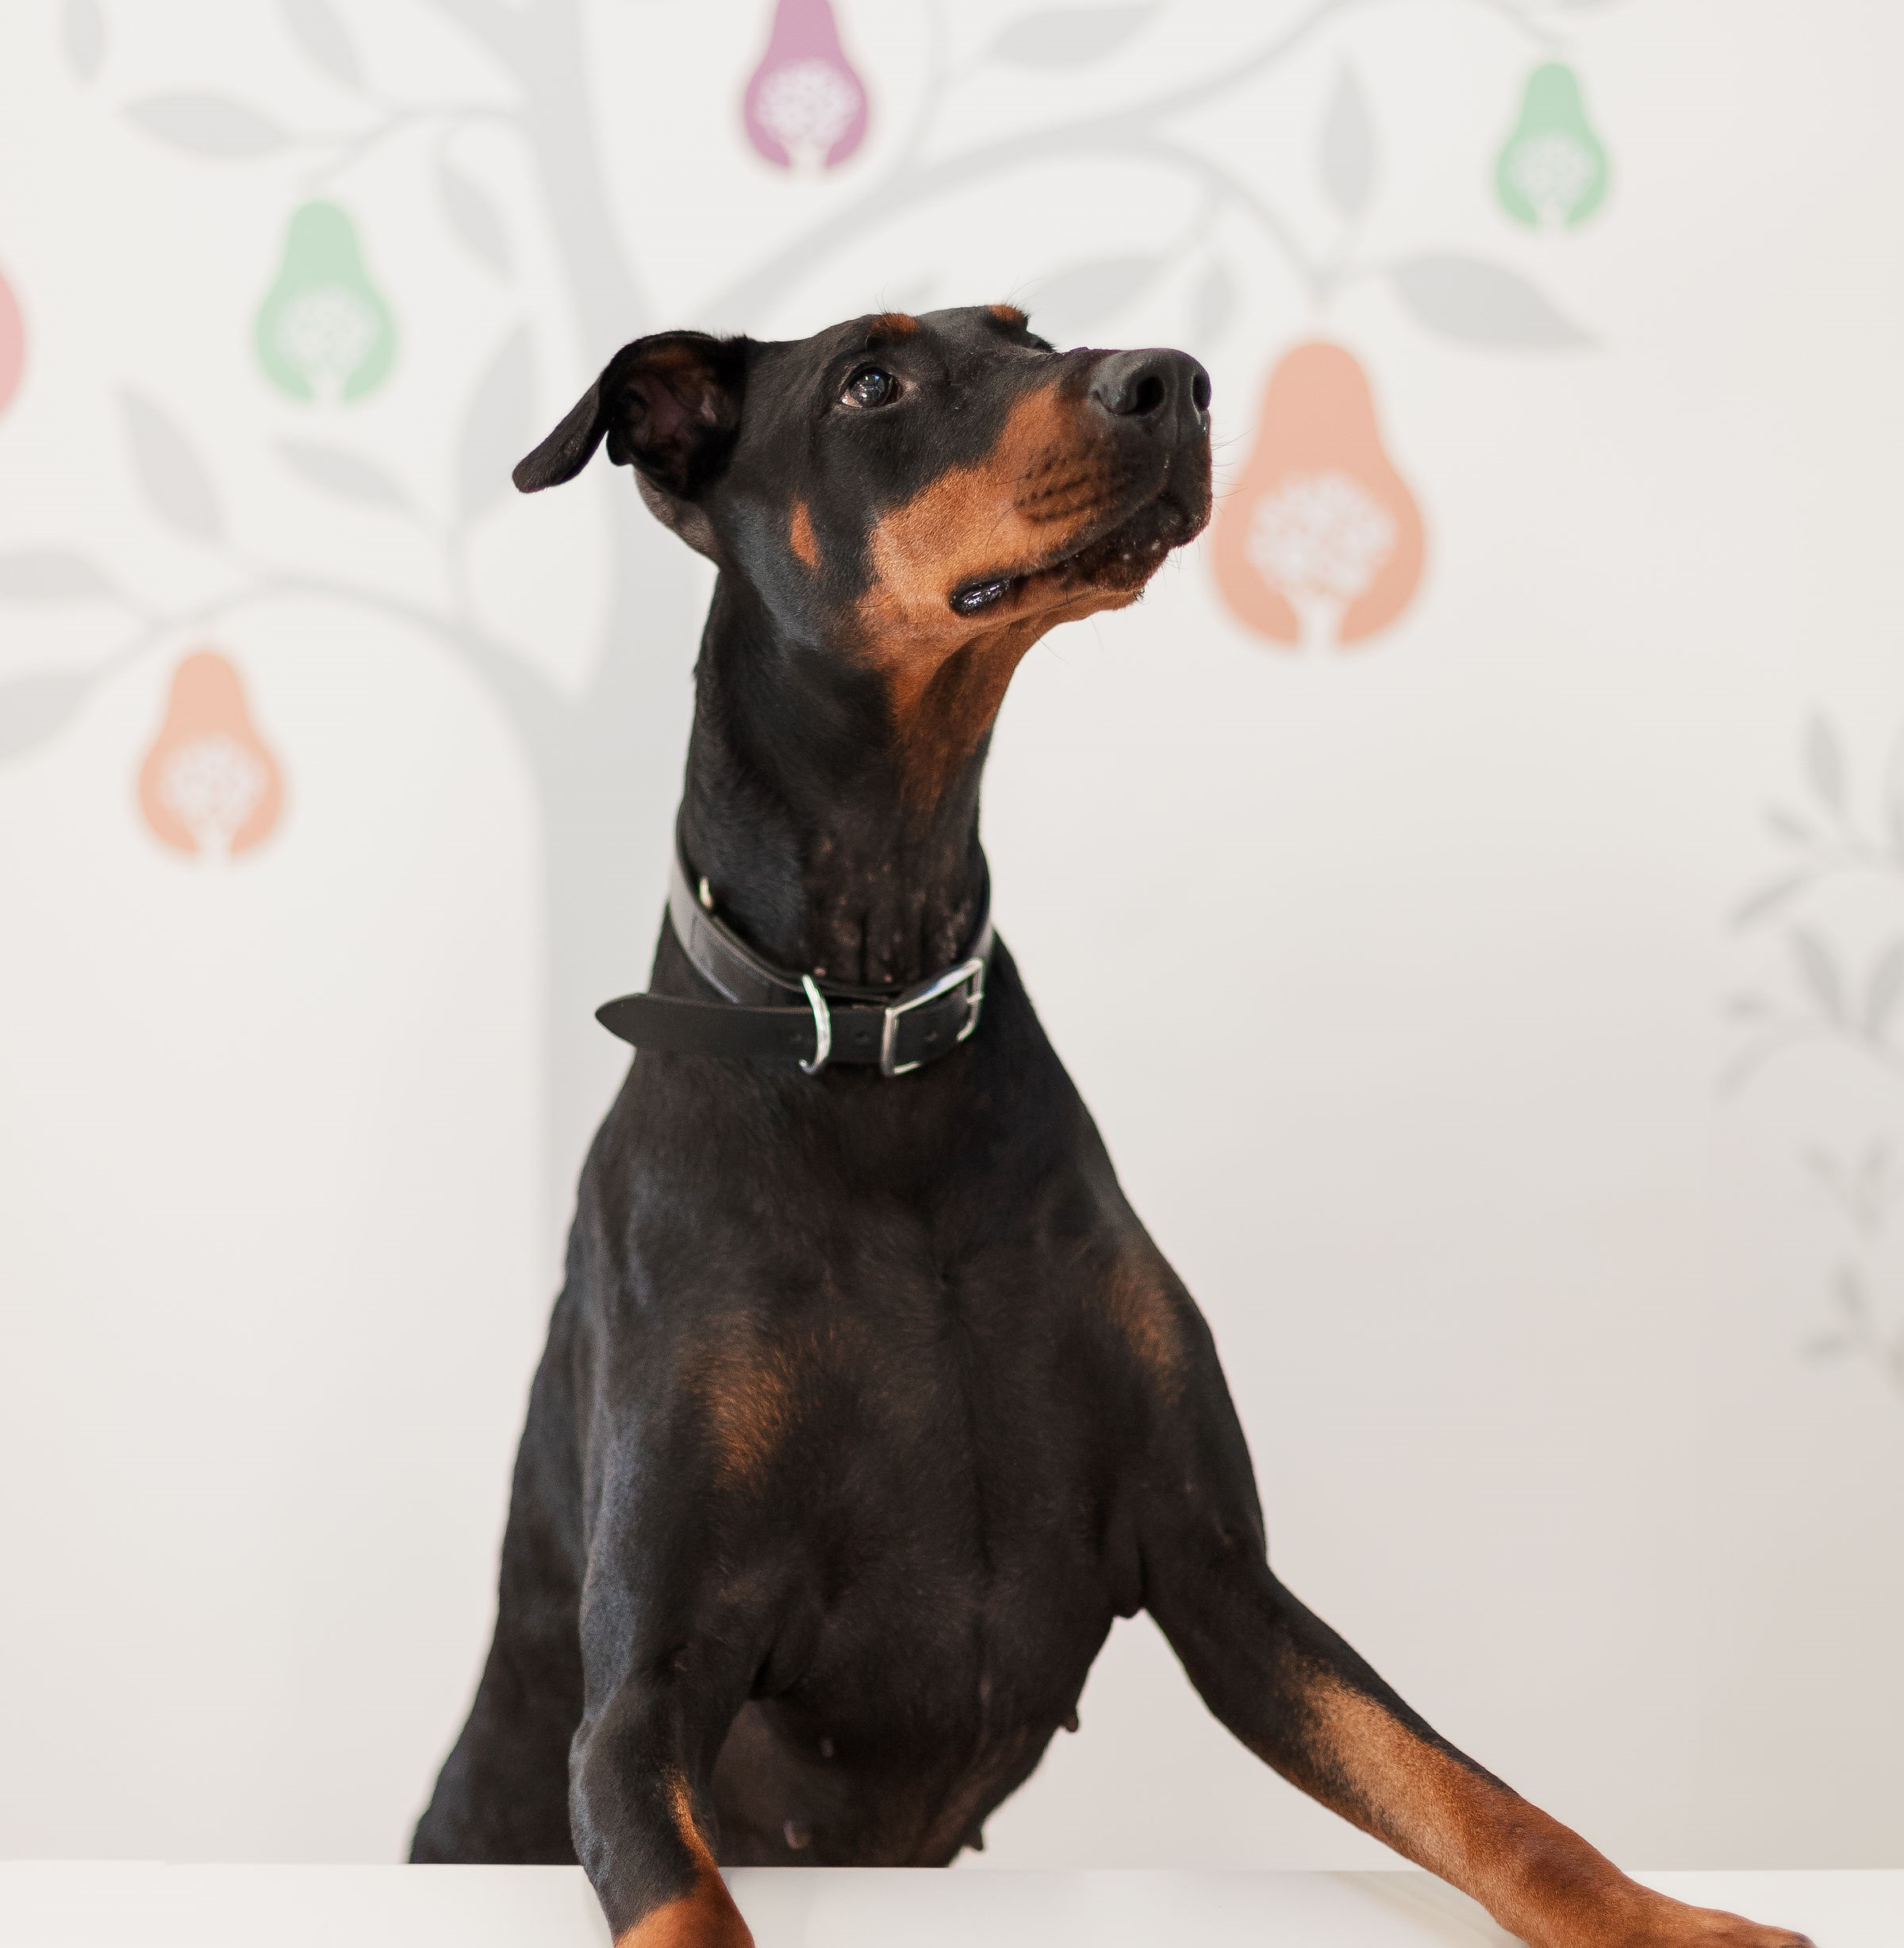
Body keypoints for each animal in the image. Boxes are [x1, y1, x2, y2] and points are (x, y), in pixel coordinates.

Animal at [416, 300, 1814, 1948]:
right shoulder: (642, 1690)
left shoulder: (1224, 1574)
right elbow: (688, 1903)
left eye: (1023, 331)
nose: (1177, 380)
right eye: (872, 379)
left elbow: (1478, 1800)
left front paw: (1678, 1925)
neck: (874, 1039)